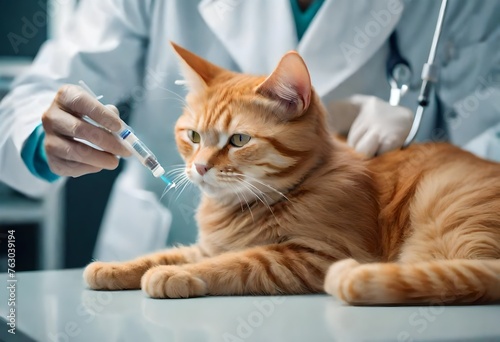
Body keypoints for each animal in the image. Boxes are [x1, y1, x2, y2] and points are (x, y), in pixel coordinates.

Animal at [83, 42, 500, 304]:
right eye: (194, 136)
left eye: (239, 139)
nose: (199, 166)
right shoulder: (208, 245)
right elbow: (164, 254)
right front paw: (114, 267)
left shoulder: (314, 255)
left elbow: (234, 262)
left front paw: (173, 276)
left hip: (446, 211)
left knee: (470, 275)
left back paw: (359, 280)